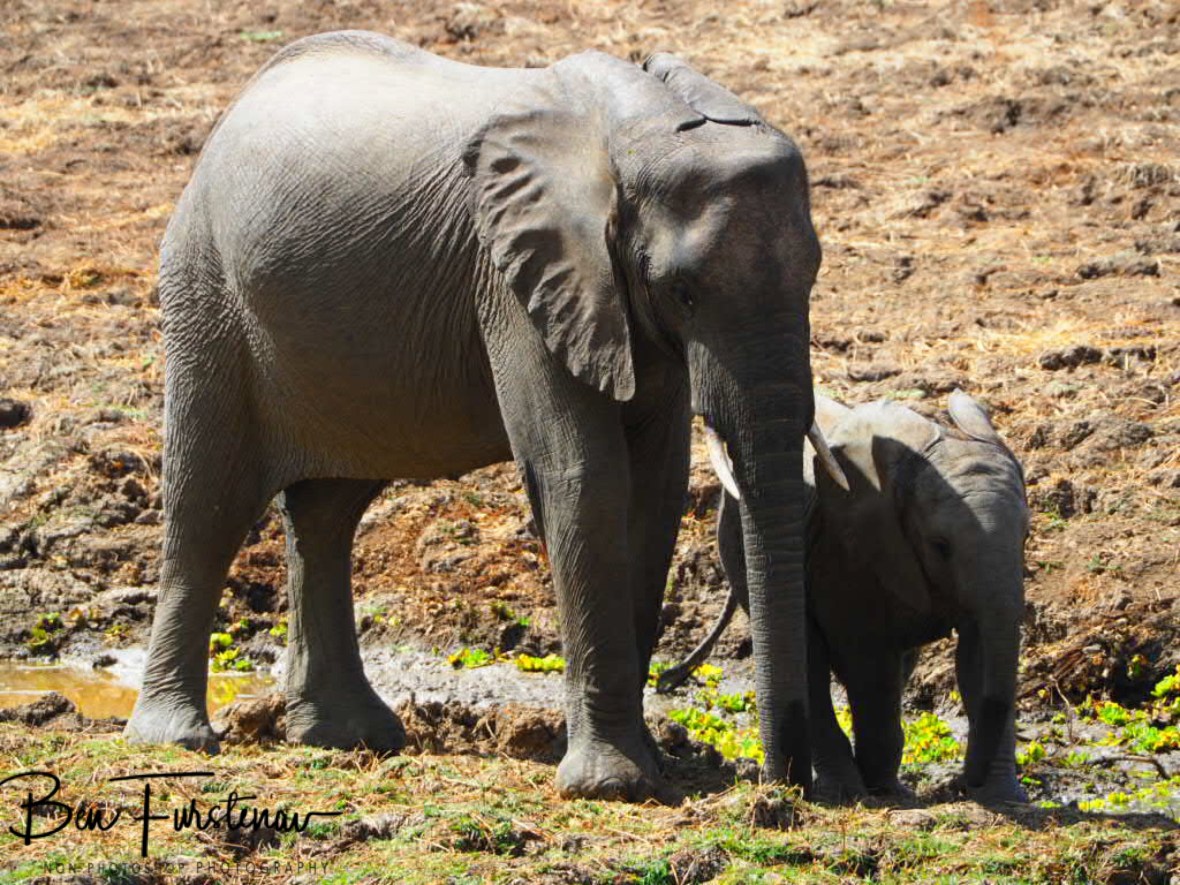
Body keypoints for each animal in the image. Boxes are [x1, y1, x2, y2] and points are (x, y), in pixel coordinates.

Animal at [123, 30, 849, 802]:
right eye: (682, 290)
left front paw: (658, 767)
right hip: (205, 286)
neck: (630, 132)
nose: (783, 786)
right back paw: (176, 737)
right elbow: (584, 477)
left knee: (327, 515)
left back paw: (349, 736)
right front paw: (613, 784)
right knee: (209, 502)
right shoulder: (515, 278)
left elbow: (654, 491)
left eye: (815, 272)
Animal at [659, 391, 1030, 804]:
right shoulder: (845, 549)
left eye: (1026, 537)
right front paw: (886, 793)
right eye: (941, 545)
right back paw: (849, 790)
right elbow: (868, 661)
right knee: (813, 657)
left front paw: (1004, 799)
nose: (965, 785)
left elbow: (980, 654)